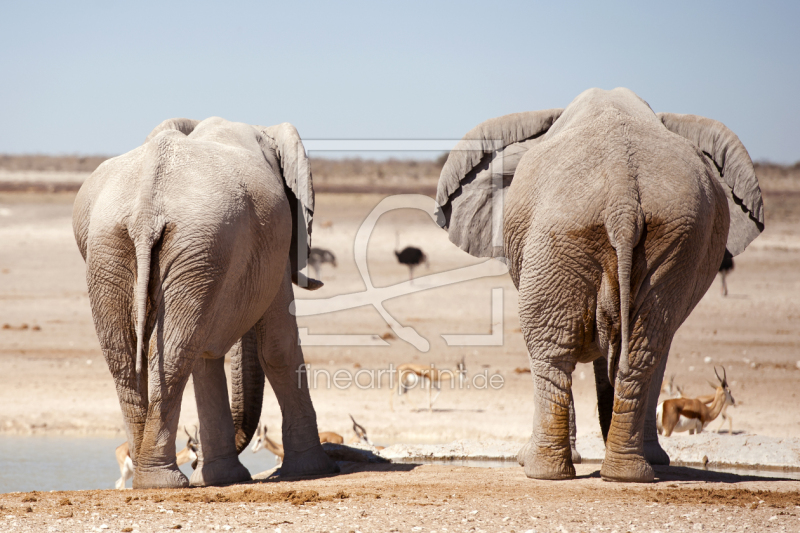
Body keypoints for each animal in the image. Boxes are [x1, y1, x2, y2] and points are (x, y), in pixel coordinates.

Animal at [73, 115, 340, 486]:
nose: (196, 460)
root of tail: (146, 206)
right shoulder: (274, 245)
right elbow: (278, 345)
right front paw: (315, 469)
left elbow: (205, 351)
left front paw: (221, 477)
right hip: (183, 241)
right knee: (172, 352)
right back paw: (163, 481)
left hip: (123, 247)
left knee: (128, 355)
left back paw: (150, 477)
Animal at [438, 88, 764, 482]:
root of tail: (622, 200)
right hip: (673, 242)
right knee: (642, 351)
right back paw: (626, 473)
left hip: (568, 235)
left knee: (552, 351)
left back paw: (542, 468)